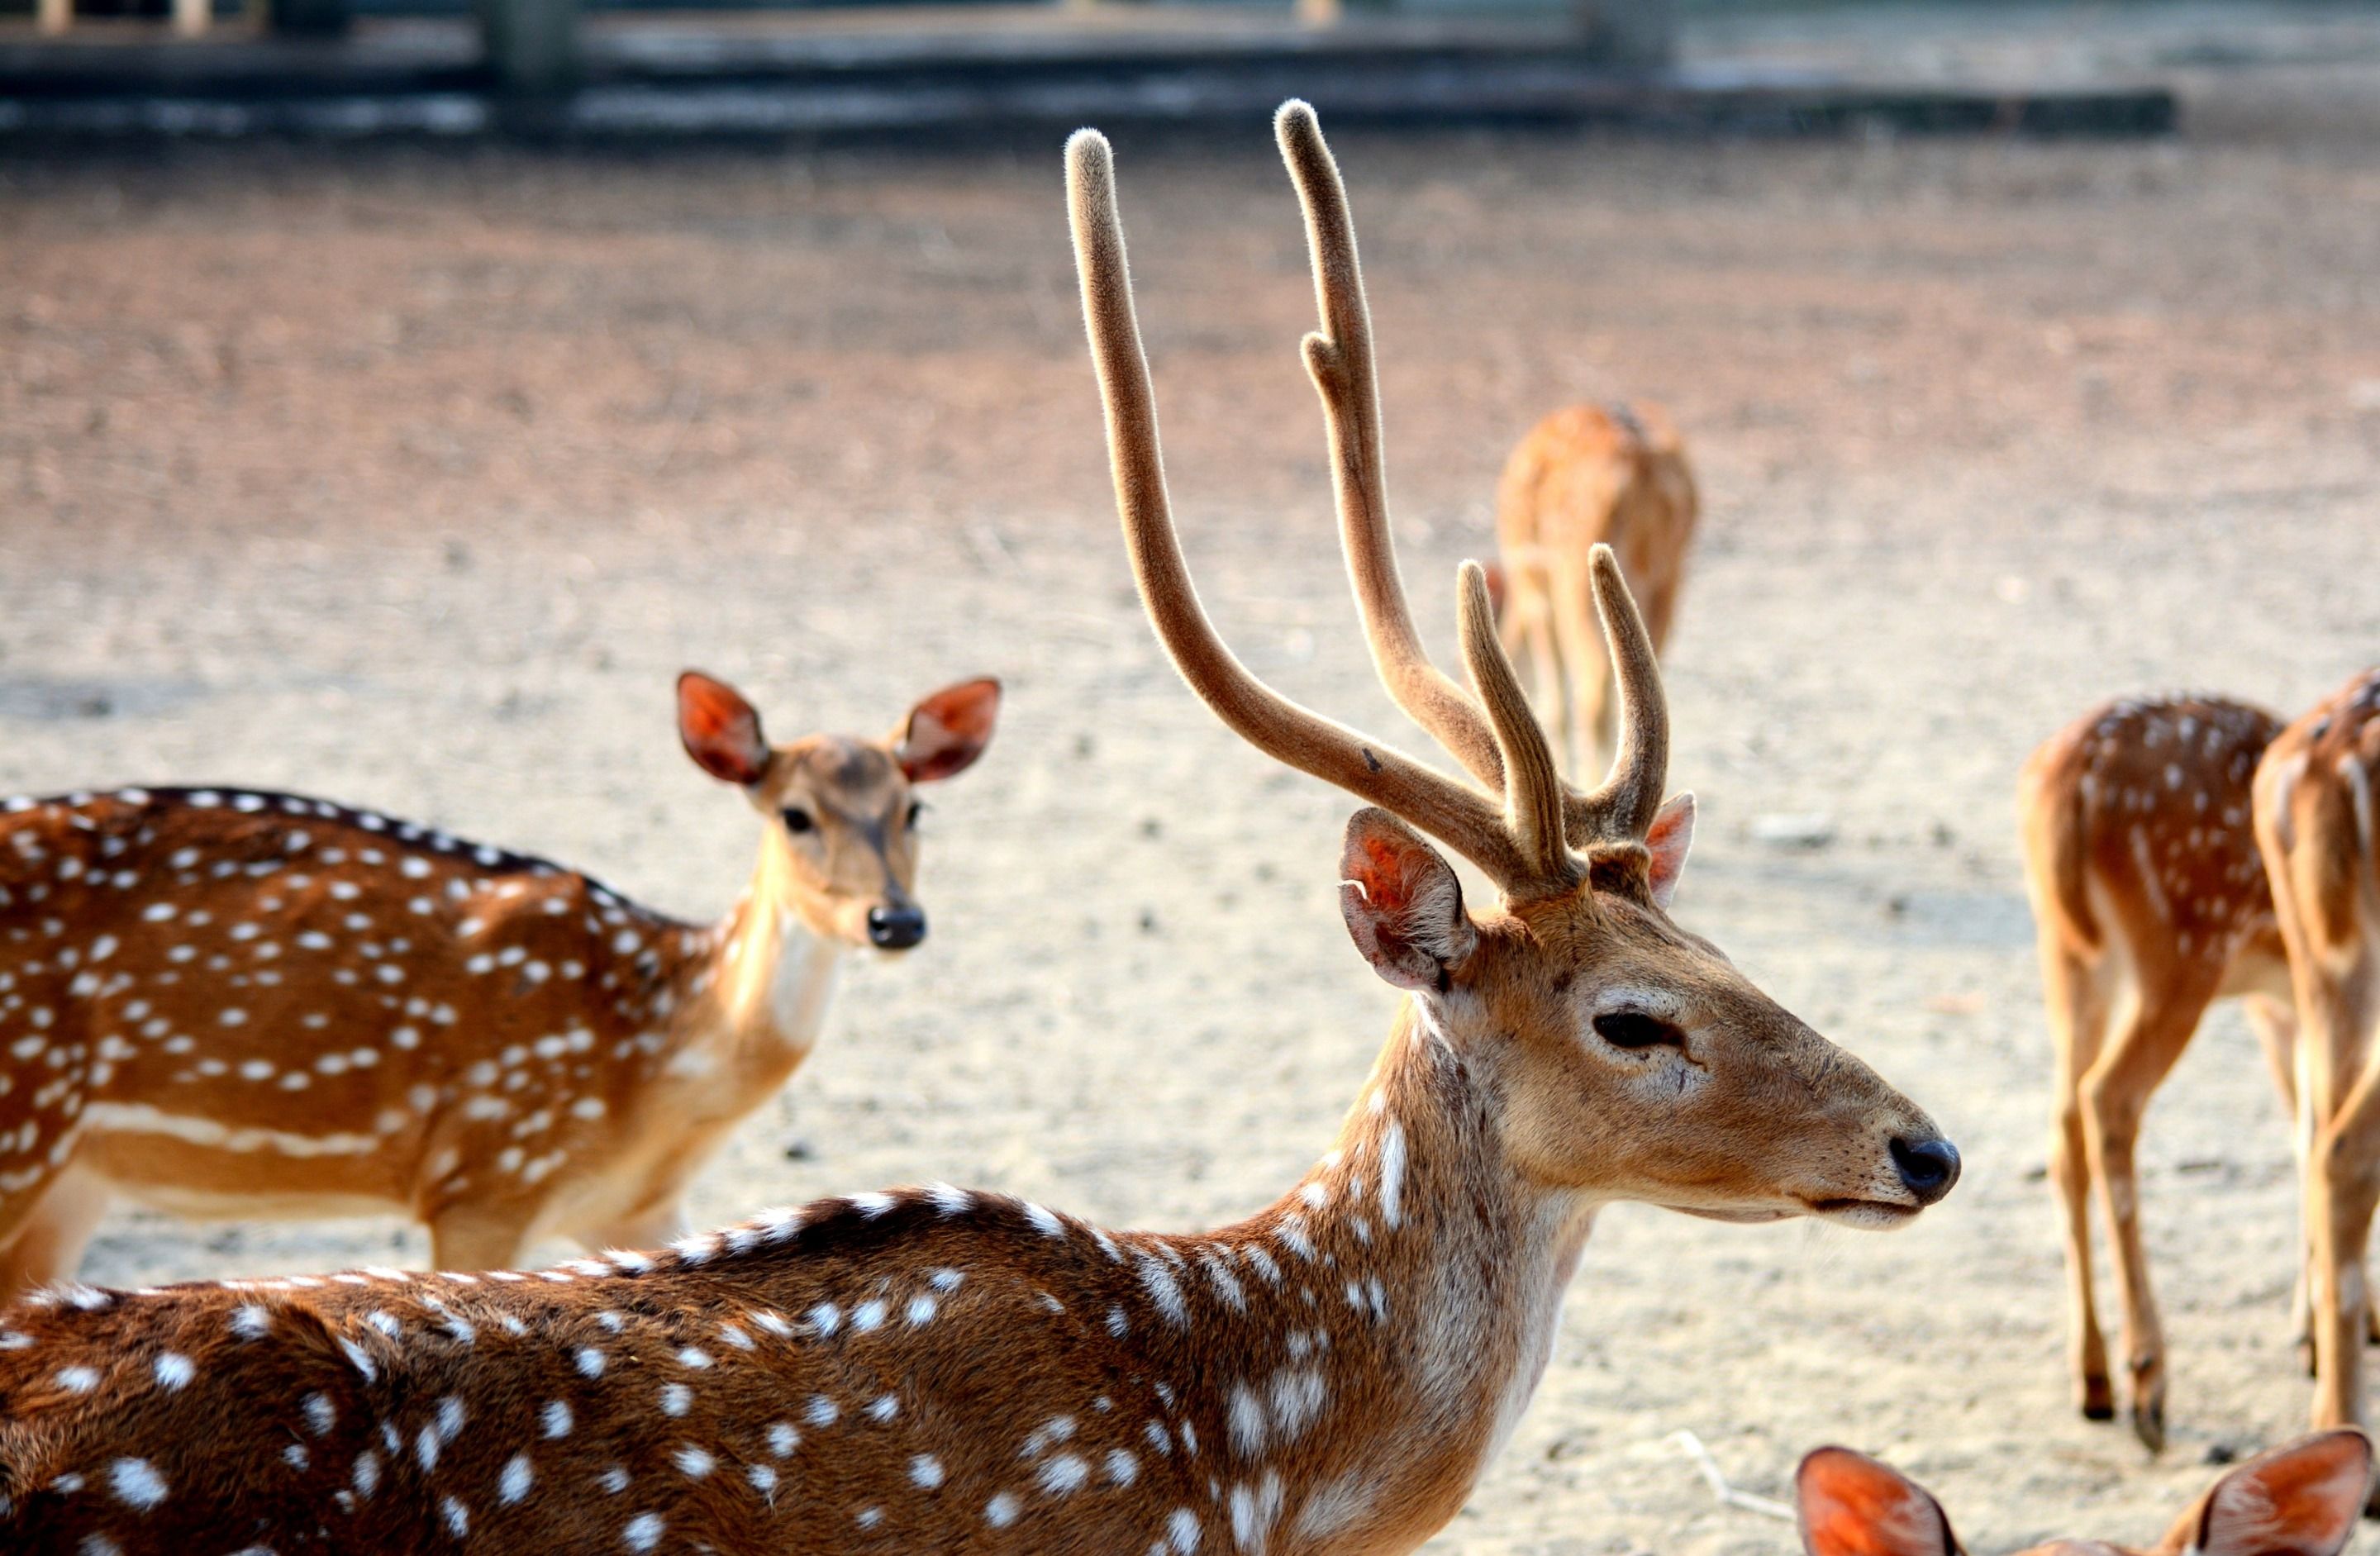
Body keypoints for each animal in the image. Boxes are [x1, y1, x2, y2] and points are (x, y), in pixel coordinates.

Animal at [0, 669, 1001, 1293]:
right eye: (795, 814)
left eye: (915, 807)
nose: (896, 920)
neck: (650, 1080)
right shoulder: (483, 1173)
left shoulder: (635, 1206)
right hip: (23, 1120)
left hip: (76, 1177)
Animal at [1490, 401, 1698, 780]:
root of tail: (1638, 466)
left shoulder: (1535, 587)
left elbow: (1554, 705)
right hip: (1668, 576)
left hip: (1576, 576)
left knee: (1592, 699)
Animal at [2018, 694, 2297, 1452]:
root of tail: (2068, 778)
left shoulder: (2281, 1005)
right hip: (2181, 947)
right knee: (2108, 1098)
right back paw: (2148, 1378)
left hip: (2070, 956)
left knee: (2061, 1125)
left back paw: (2092, 1378)